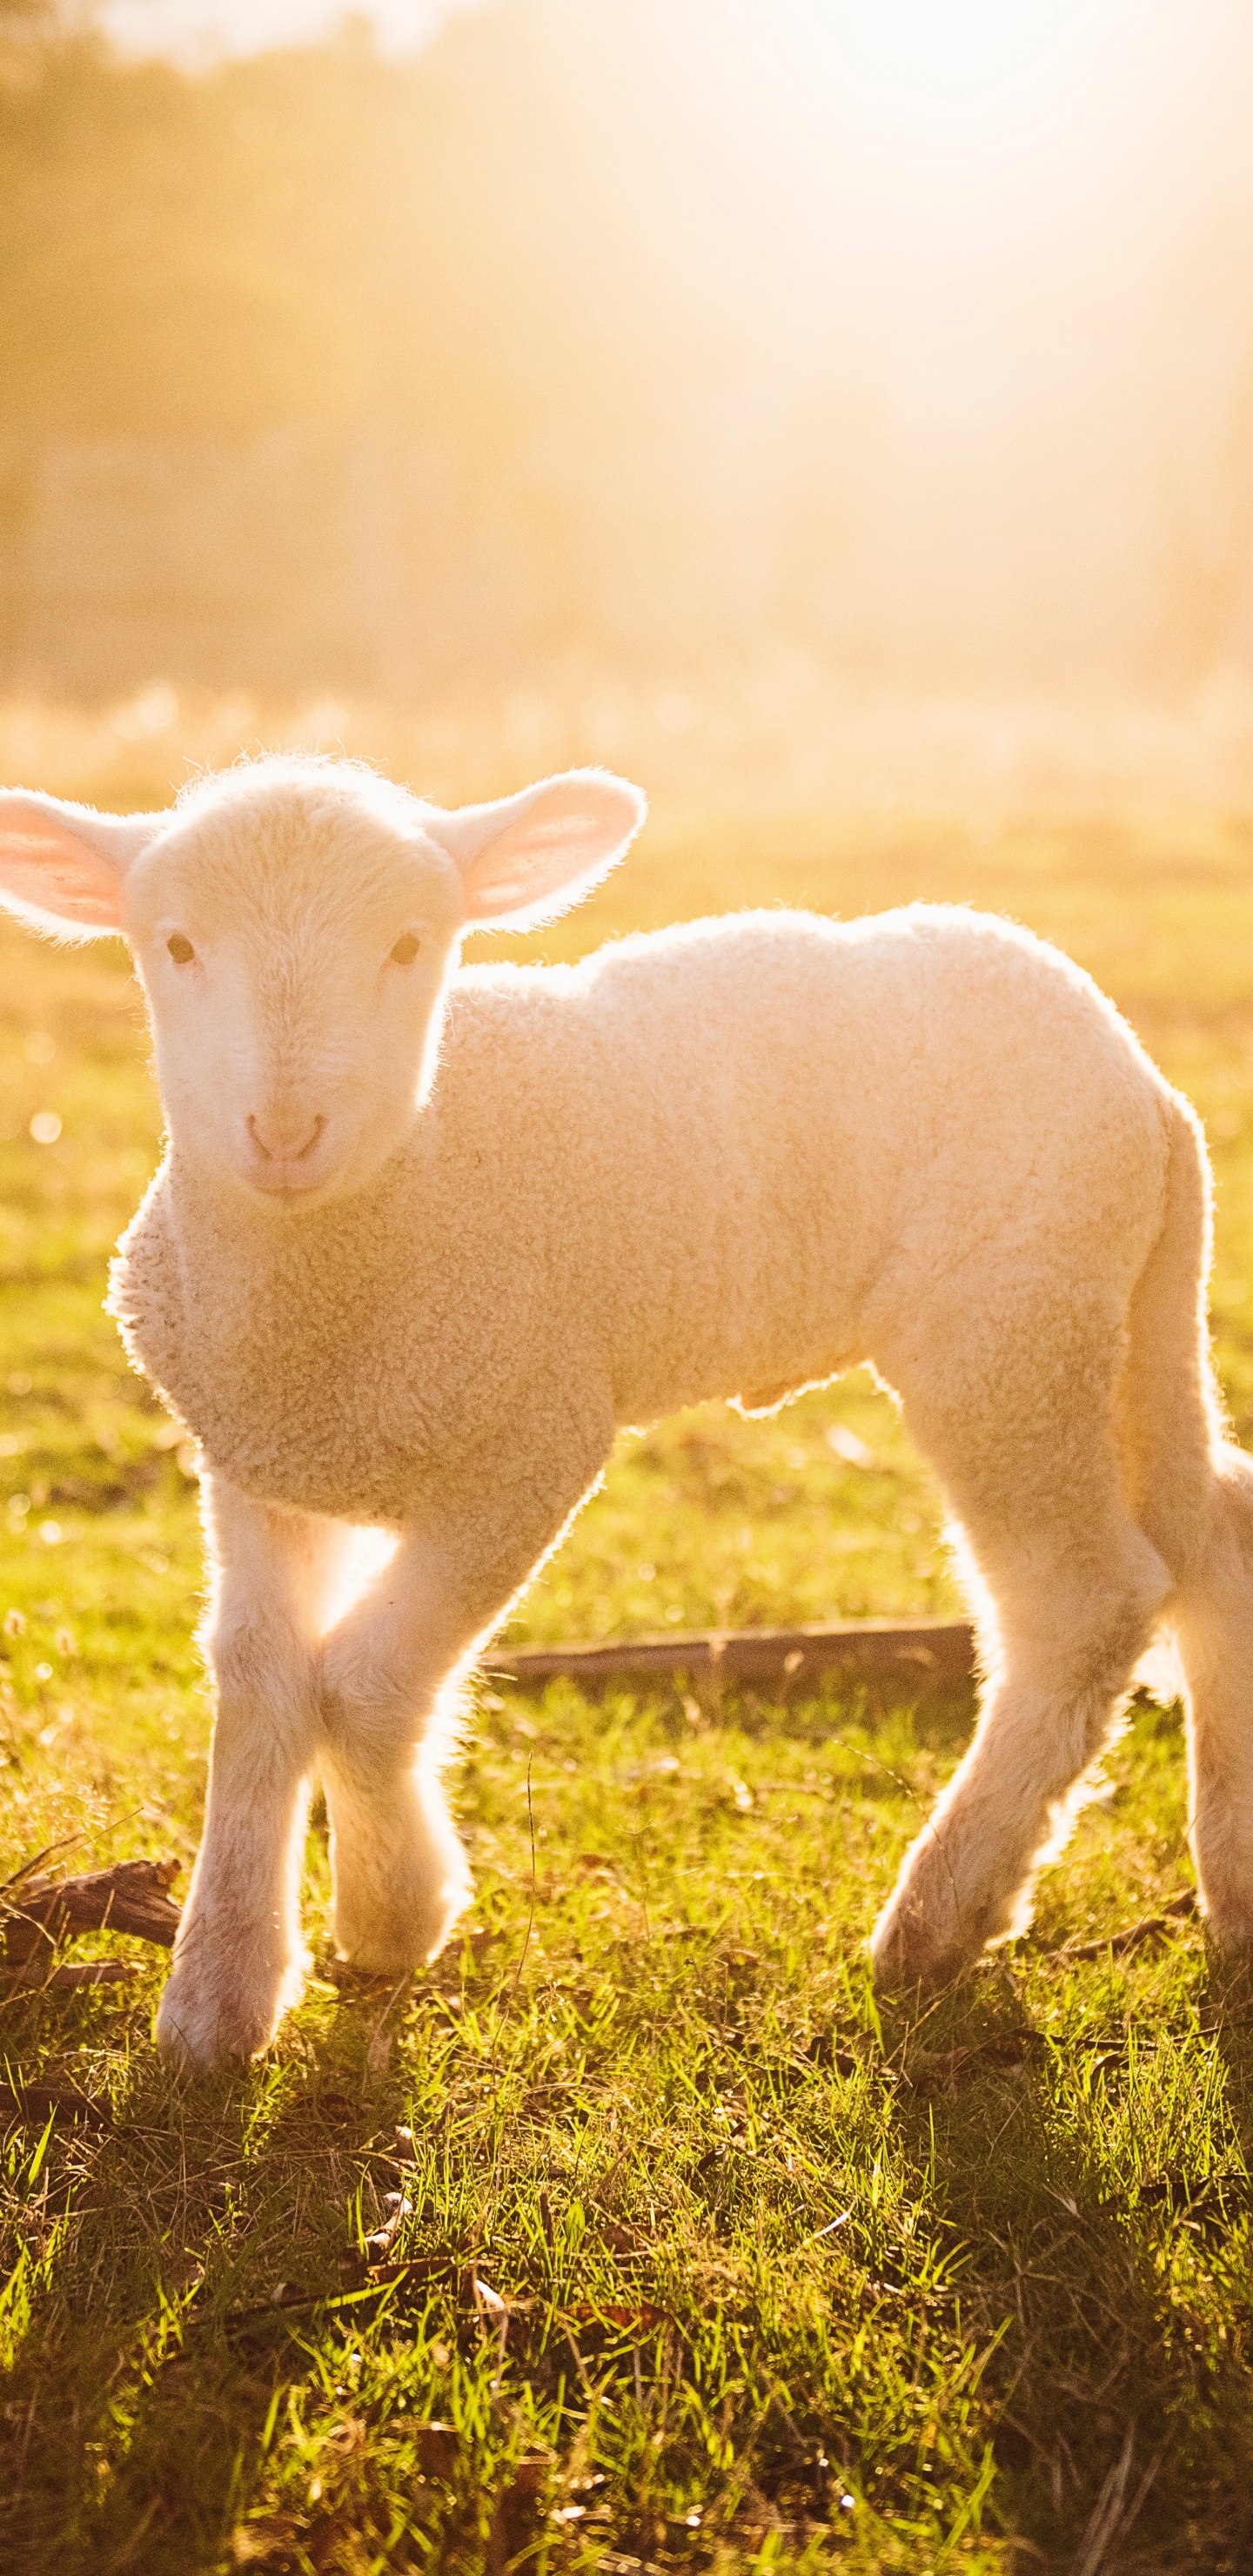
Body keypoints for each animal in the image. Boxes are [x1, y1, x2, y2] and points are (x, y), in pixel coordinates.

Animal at [0, 755, 1248, 2073]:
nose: (285, 1133)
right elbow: (255, 1677)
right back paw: (1234, 1887)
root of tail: (1145, 1083)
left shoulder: (531, 1443)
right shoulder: (257, 1454)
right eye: (176, 943)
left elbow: (366, 1682)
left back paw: (939, 1918)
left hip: (1007, 1325)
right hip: (1121, 1306)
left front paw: (393, 1915)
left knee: (1083, 1602)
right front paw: (219, 1993)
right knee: (1214, 1530)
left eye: (410, 942)